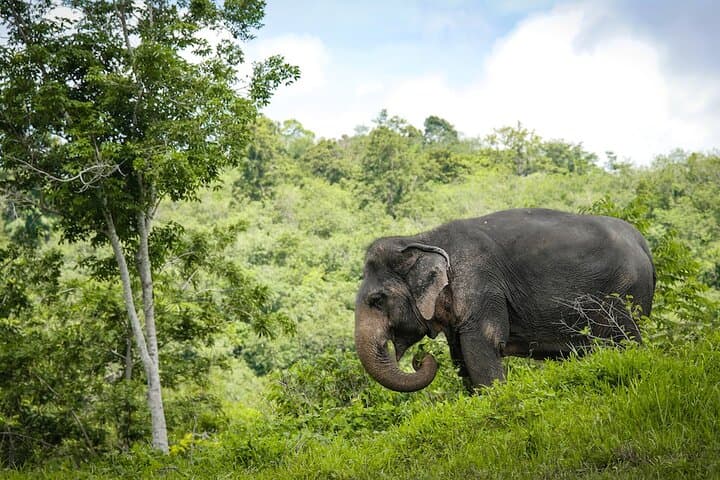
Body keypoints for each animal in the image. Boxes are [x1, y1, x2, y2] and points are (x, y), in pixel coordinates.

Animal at [354, 208, 655, 392]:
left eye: (377, 300)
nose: (420, 359)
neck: (423, 238)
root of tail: (643, 243)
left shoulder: (481, 285)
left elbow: (481, 347)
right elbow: (460, 356)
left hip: (624, 293)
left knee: (624, 340)